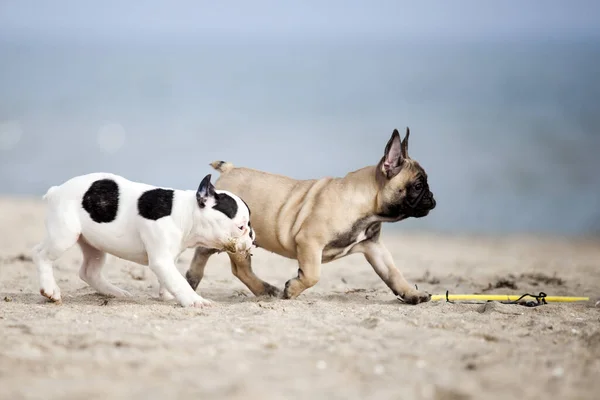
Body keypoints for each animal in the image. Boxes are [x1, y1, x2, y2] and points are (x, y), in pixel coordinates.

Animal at [32, 172, 253, 306]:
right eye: (241, 226)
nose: (252, 236)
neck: (185, 213)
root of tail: (56, 190)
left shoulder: (168, 257)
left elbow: (170, 278)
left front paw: (168, 294)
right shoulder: (161, 260)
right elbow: (178, 280)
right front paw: (194, 300)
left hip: (93, 245)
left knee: (89, 272)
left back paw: (115, 292)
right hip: (64, 235)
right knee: (41, 254)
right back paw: (50, 289)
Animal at [185, 130, 438, 304]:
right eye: (418, 186)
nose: (433, 198)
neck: (366, 205)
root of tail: (229, 169)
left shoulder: (374, 247)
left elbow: (393, 273)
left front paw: (411, 293)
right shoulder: (310, 242)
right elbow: (313, 274)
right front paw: (292, 289)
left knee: (202, 252)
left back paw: (192, 280)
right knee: (241, 270)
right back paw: (266, 290)